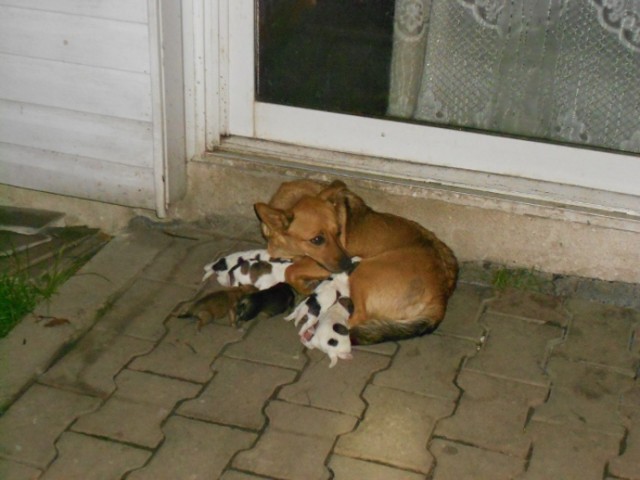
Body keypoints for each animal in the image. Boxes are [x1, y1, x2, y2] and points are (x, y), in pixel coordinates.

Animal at [252, 178, 458, 344]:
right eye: (317, 240)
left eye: (338, 232)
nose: (348, 264)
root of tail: (441, 297)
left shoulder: (322, 266)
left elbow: (291, 271)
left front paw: (307, 289)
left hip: (363, 272)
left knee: (357, 317)